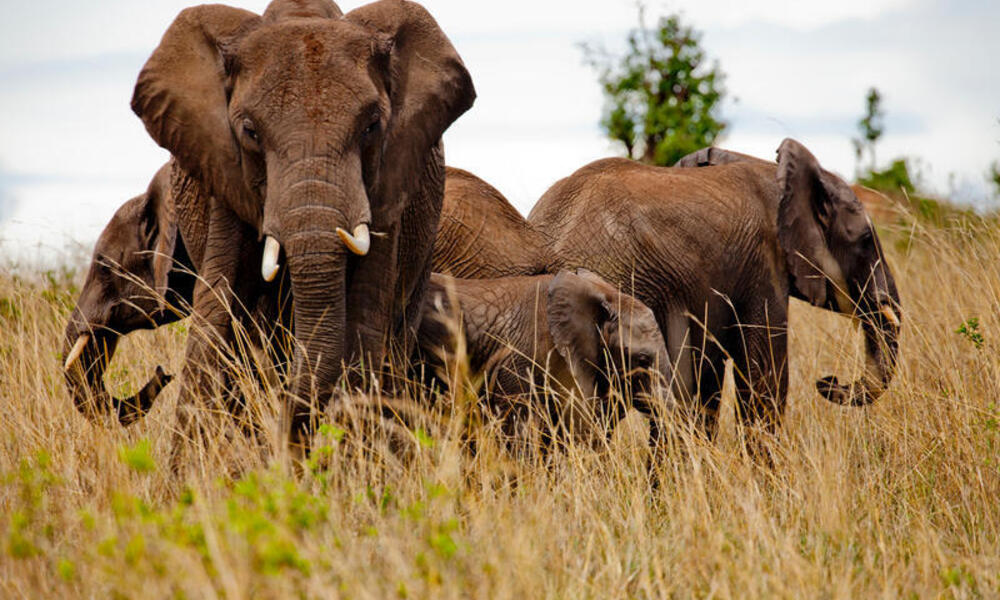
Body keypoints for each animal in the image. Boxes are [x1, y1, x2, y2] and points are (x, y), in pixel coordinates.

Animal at [130, 0, 476, 450]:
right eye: (250, 131)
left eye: (371, 126)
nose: (286, 441)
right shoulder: (223, 171)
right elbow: (216, 311)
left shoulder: (389, 179)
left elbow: (366, 317)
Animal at [528, 139, 904, 440]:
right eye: (866, 240)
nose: (827, 381)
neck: (775, 174)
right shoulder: (764, 267)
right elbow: (763, 386)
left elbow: (706, 388)